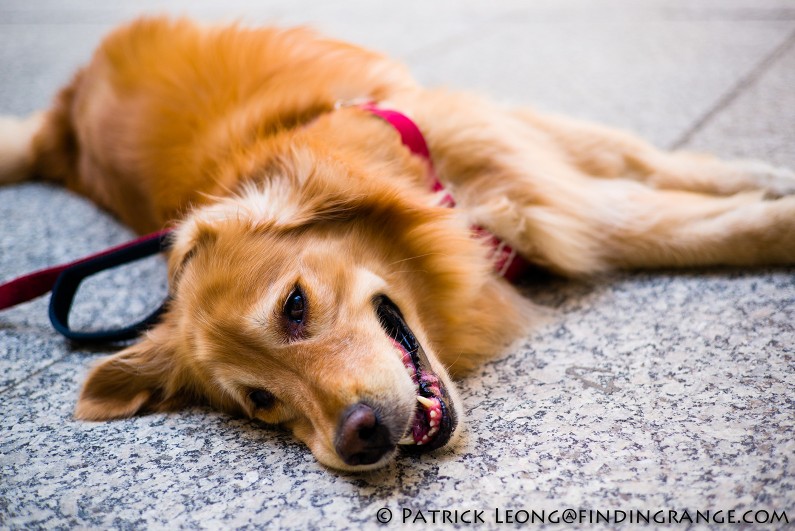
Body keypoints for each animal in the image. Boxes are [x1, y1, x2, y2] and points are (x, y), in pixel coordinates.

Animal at [1, 17, 795, 474]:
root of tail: (62, 126)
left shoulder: (506, 142)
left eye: (294, 306)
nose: (356, 439)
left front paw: (763, 179)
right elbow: (678, 220)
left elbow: (655, 168)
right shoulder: (553, 199)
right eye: (261, 401)